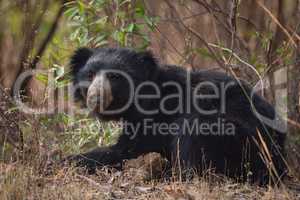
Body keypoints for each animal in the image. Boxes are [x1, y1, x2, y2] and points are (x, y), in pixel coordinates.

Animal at [67, 47, 288, 184]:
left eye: (114, 77)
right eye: (90, 75)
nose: (95, 96)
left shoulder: (157, 117)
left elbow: (126, 150)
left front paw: (69, 160)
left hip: (242, 139)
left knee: (192, 134)